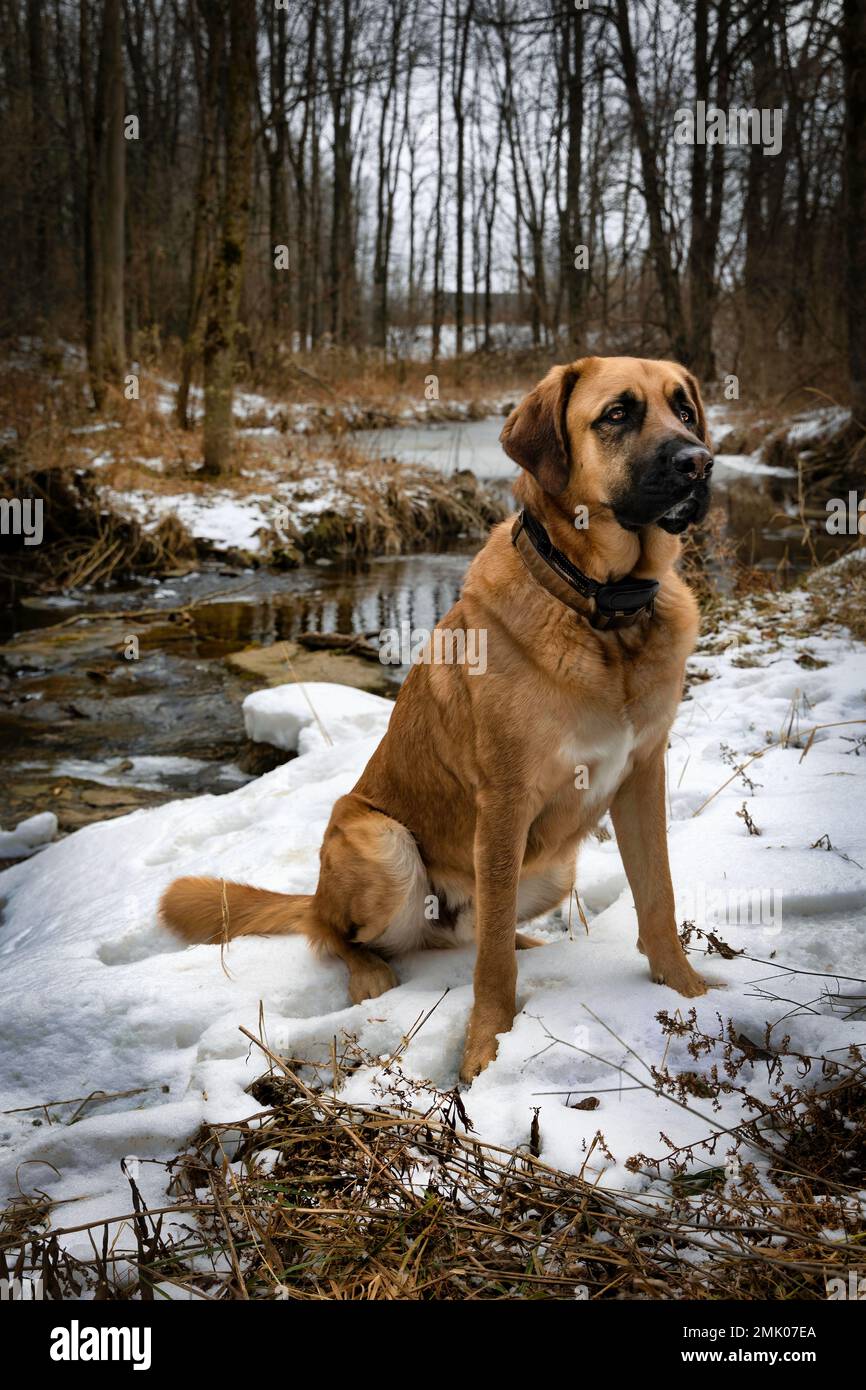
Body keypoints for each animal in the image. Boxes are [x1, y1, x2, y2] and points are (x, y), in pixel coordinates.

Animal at [159, 353, 717, 1078]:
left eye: (684, 410)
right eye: (617, 414)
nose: (698, 463)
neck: (601, 608)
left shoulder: (642, 776)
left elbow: (658, 896)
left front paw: (688, 992)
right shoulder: (504, 802)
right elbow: (492, 967)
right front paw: (486, 1047)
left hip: (550, 870)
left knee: (473, 933)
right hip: (381, 842)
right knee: (339, 933)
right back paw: (370, 969)